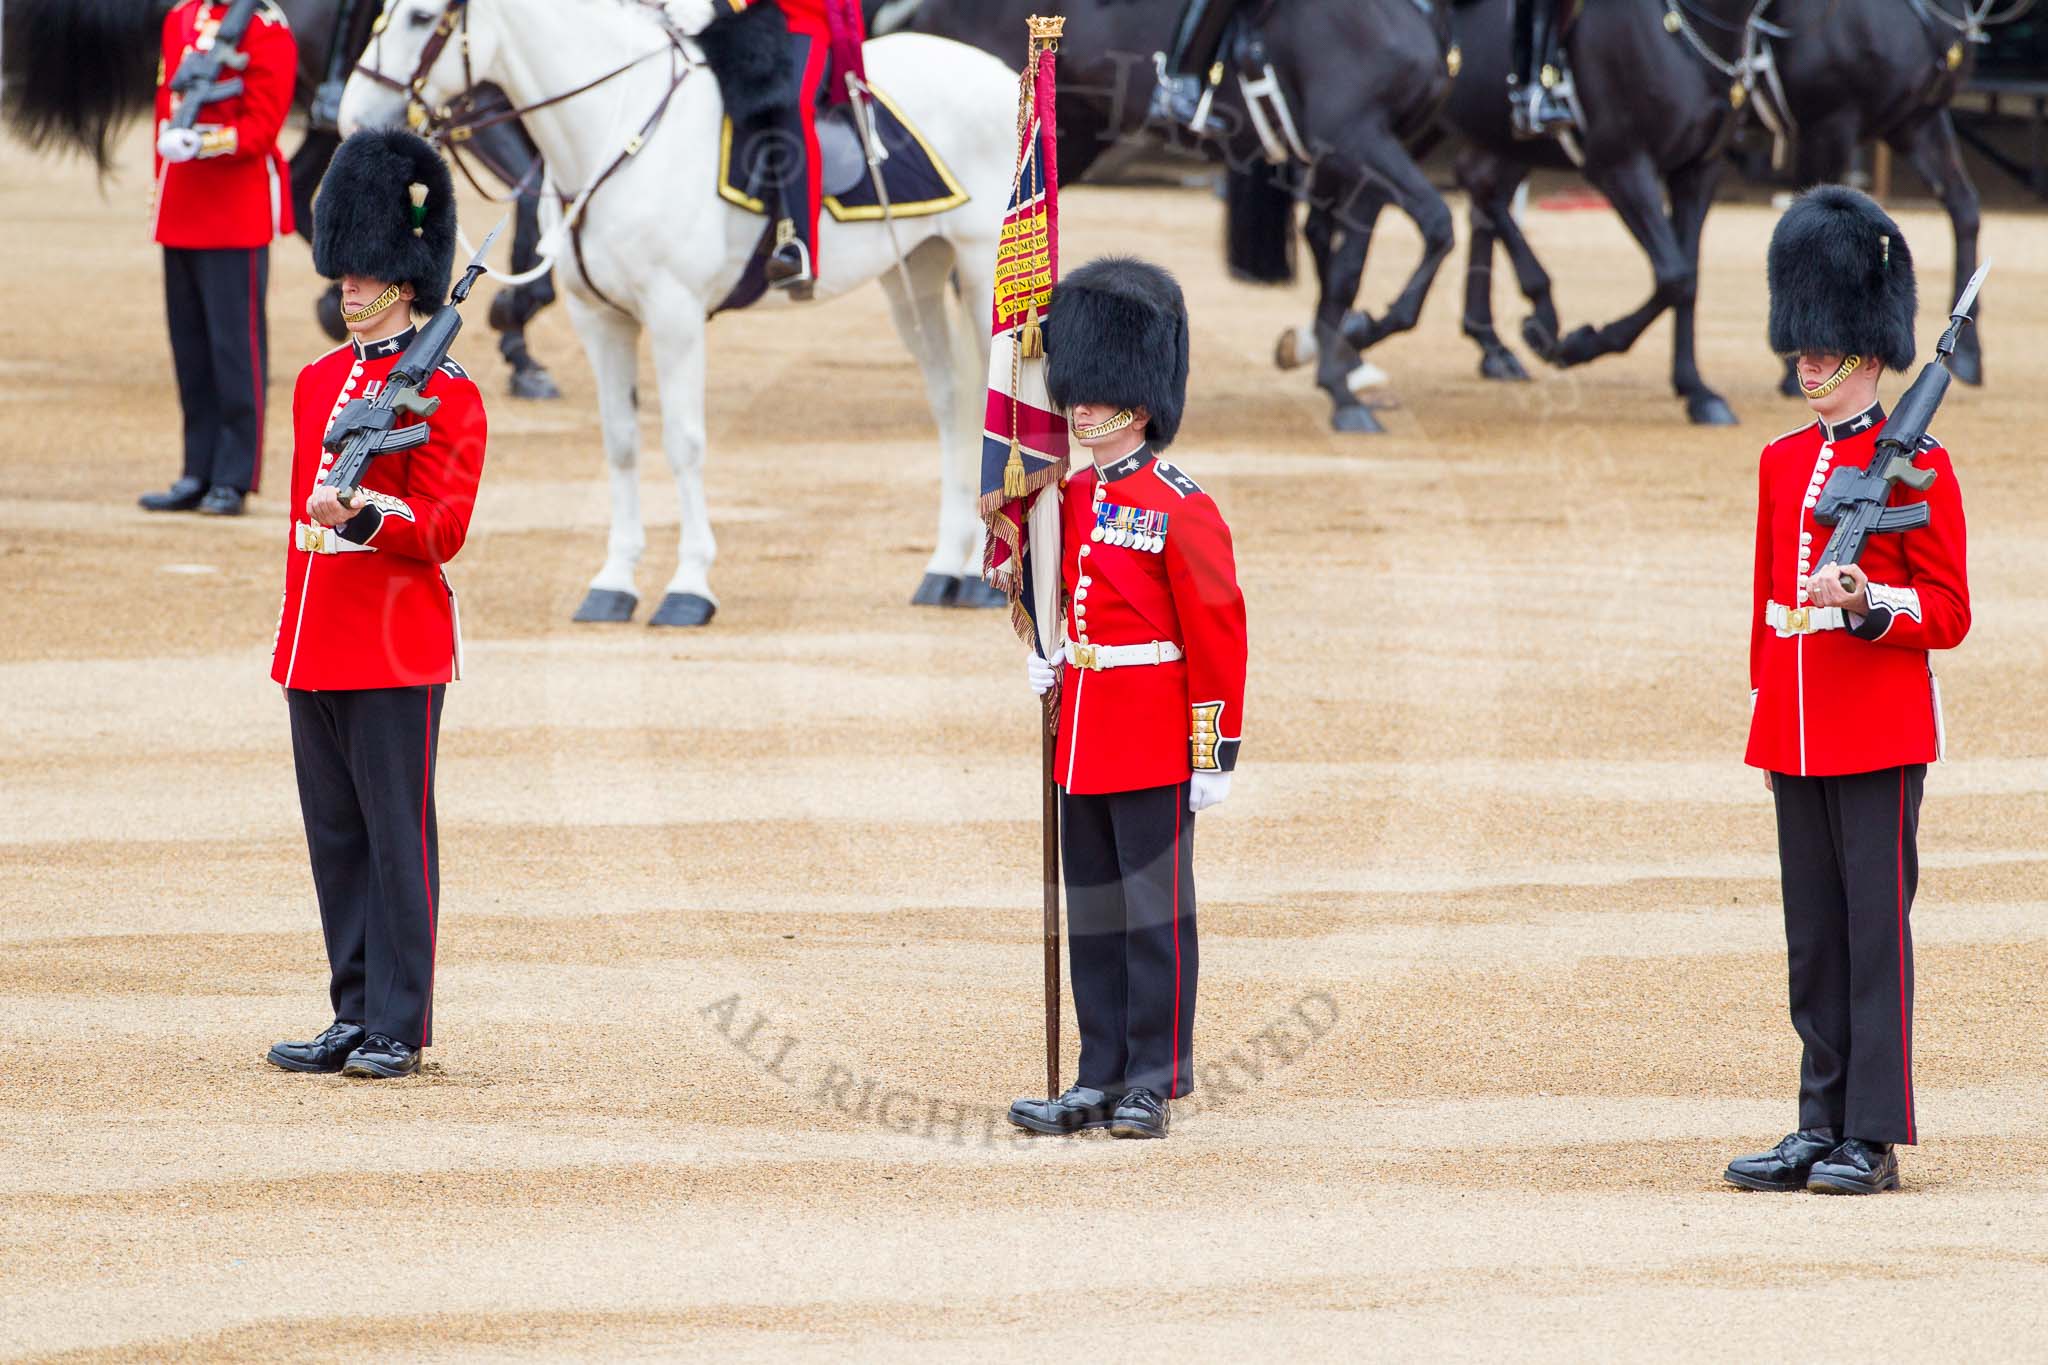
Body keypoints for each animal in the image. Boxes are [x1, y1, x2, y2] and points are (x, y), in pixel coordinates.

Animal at [348, 0, 1024, 626]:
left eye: (420, 17)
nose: (353, 117)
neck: (615, 130)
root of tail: (997, 72)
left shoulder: (674, 314)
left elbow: (682, 443)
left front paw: (689, 585)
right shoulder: (600, 321)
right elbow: (621, 443)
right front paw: (614, 581)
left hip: (979, 272)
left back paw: (987, 578)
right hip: (914, 276)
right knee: (953, 404)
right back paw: (947, 569)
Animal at [892, 0, 1458, 431]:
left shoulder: (1360, 159)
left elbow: (1346, 267)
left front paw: (1339, 371)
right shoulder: (1357, 138)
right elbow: (1437, 229)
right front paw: (1352, 346)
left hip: (1070, 136)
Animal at [1433, 0, 1753, 423]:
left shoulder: (1698, 172)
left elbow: (1689, 280)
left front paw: (1696, 389)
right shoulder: (1620, 165)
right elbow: (1675, 276)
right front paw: (1577, 345)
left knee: (1480, 186)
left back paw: (1502, 341)